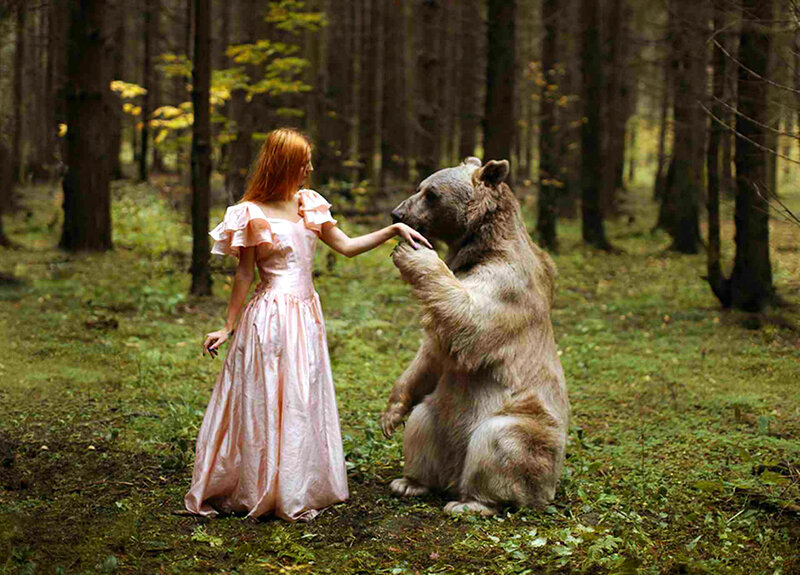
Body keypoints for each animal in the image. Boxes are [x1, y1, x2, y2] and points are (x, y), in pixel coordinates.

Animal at [381, 157, 570, 516]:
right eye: (420, 186)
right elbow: (431, 354)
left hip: (528, 429)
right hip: (443, 414)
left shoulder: (506, 283)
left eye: (431, 193)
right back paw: (410, 482)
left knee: (499, 443)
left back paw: (472, 503)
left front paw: (413, 251)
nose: (397, 214)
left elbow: (470, 319)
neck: (479, 247)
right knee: (423, 424)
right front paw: (390, 415)